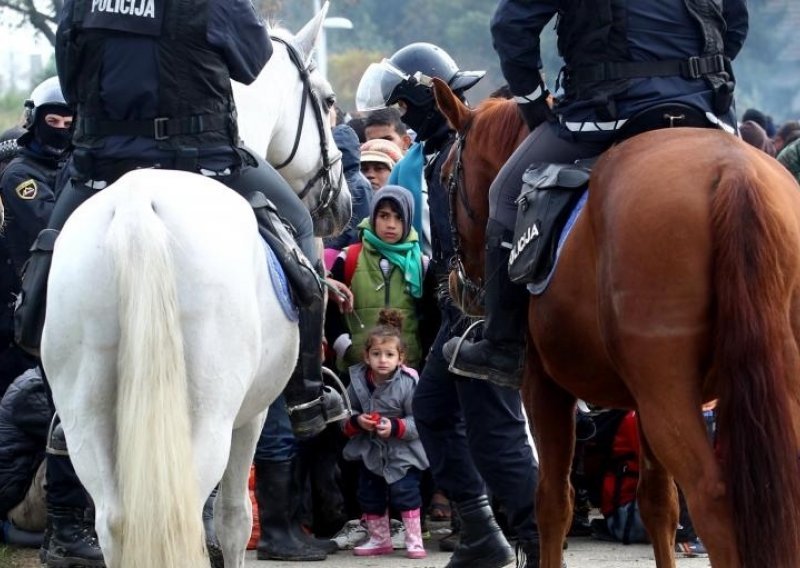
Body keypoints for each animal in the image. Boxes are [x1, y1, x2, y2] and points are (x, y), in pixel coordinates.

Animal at [39, 5, 348, 568]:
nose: (340, 202)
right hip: (205, 418)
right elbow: (231, 520)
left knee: (114, 520)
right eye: (329, 99)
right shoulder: (250, 415)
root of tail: (138, 207)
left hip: (85, 415)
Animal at [434, 76, 800, 568]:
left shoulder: (543, 387)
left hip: (669, 396)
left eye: (443, 176)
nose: (456, 286)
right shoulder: (638, 404)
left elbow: (553, 501)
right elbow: (658, 503)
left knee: (713, 498)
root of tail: (732, 174)